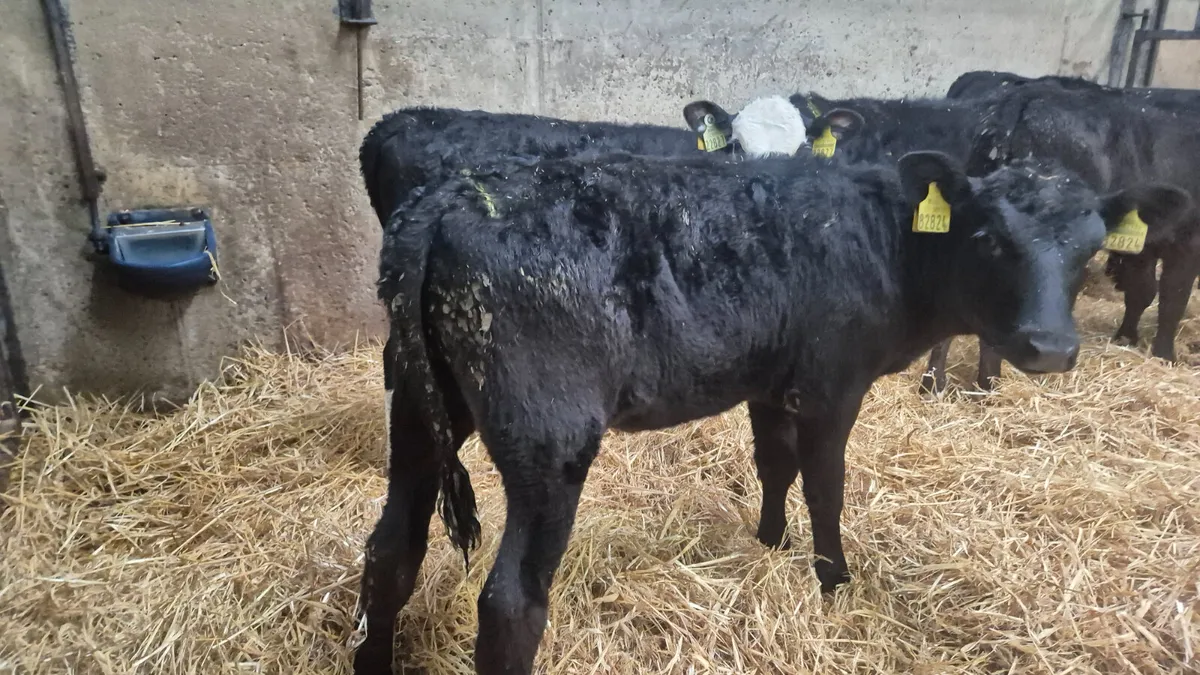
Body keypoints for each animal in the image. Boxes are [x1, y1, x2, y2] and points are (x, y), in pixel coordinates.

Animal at [353, 144, 1158, 674]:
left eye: (1090, 250)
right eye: (989, 238)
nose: (1050, 347)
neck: (885, 240)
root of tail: (449, 197)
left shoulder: (771, 382)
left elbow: (774, 464)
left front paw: (770, 544)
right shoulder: (834, 382)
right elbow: (826, 485)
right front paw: (833, 581)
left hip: (418, 410)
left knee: (390, 552)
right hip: (548, 437)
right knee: (511, 601)